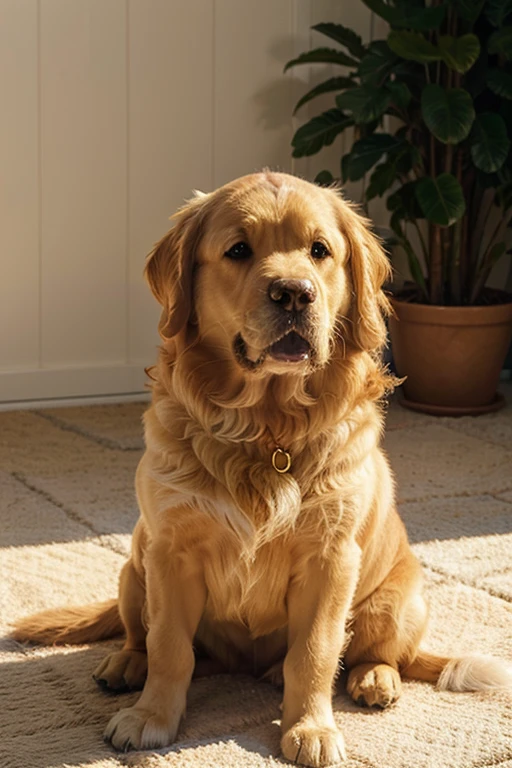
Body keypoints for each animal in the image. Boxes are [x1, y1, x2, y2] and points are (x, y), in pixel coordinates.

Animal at [13, 174, 512, 768]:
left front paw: (311, 728)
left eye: (320, 250)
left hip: (397, 602)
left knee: (384, 655)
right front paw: (151, 717)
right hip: (133, 565)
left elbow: (315, 653)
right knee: (139, 635)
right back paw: (126, 664)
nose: (295, 293)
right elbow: (169, 648)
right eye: (237, 250)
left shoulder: (329, 560)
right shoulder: (170, 552)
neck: (266, 428)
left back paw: (372, 680)